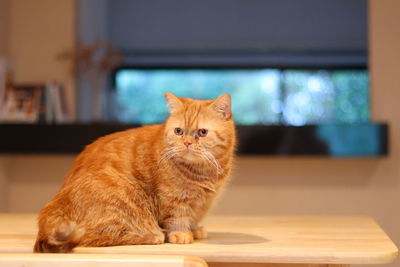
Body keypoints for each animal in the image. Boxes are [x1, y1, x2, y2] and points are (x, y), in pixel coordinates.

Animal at [34, 93, 236, 253]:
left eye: (202, 133)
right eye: (178, 131)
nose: (186, 142)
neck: (203, 171)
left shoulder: (202, 203)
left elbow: (193, 218)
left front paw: (194, 229)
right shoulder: (173, 199)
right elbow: (177, 217)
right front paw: (181, 234)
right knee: (90, 237)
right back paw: (154, 235)